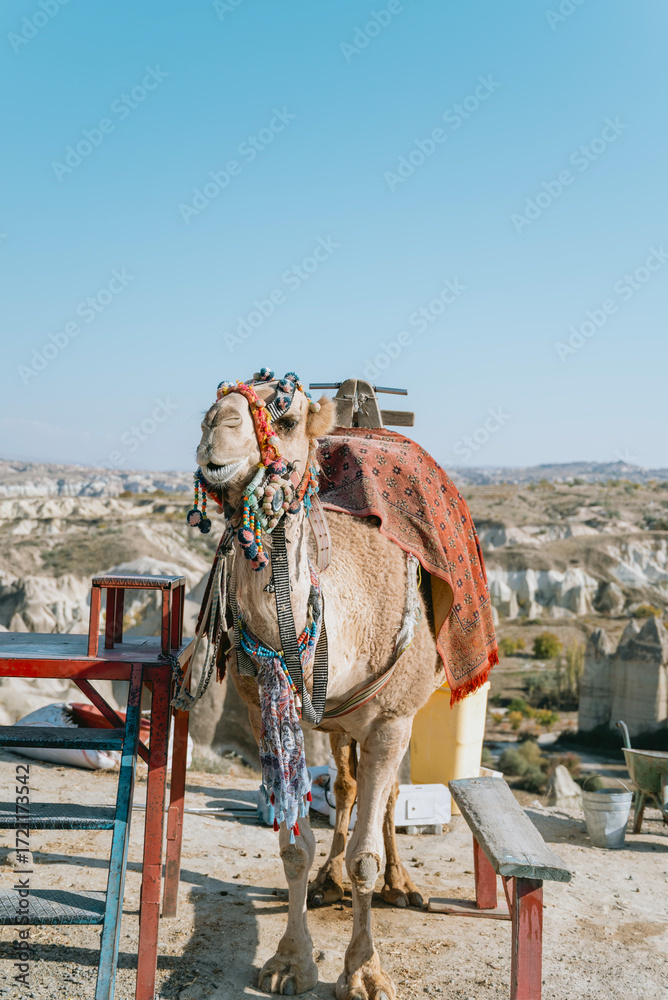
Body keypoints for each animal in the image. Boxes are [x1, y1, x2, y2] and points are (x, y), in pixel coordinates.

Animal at [195, 373, 488, 999]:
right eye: (209, 407)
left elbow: (366, 857)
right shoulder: (268, 714)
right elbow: (292, 846)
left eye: (284, 418)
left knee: (389, 795)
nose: (215, 429)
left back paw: (403, 886)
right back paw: (328, 881)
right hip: (335, 722)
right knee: (348, 787)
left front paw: (365, 972)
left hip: (398, 712)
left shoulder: (392, 720)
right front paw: (290, 961)